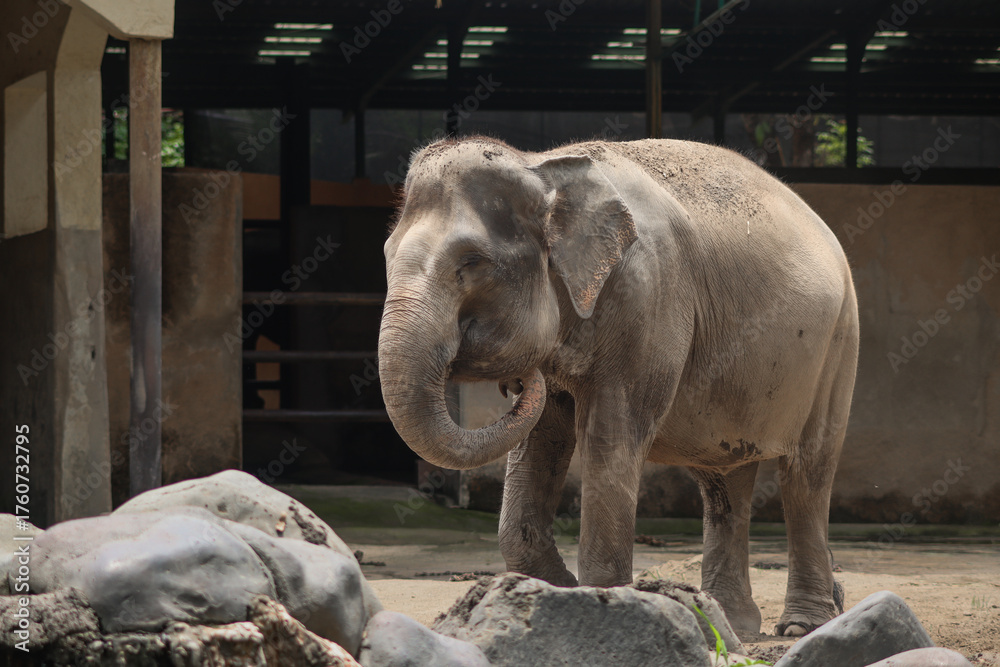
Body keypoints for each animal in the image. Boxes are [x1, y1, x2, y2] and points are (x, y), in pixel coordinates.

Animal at [377, 136, 859, 637]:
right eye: (387, 254)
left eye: (472, 262)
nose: (517, 383)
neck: (540, 166)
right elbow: (541, 439)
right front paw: (557, 589)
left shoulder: (649, 296)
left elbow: (610, 434)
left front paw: (601, 600)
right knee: (725, 481)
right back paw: (734, 621)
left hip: (840, 341)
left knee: (807, 475)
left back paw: (801, 626)